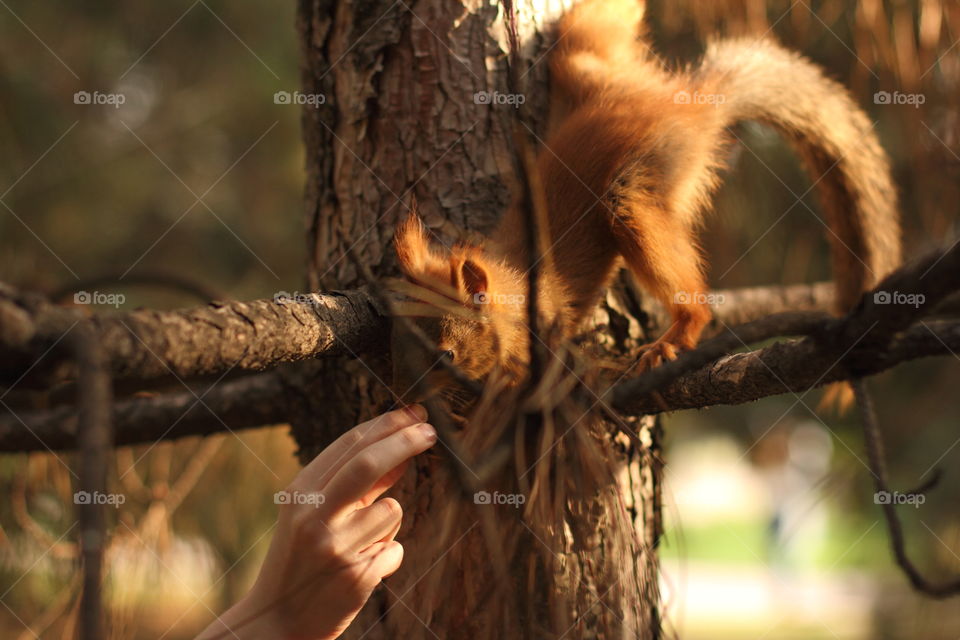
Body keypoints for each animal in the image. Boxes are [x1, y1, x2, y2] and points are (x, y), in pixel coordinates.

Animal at [391, 0, 901, 399]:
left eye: (446, 354)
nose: (401, 399)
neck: (511, 285)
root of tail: (688, 102)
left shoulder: (547, 323)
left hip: (645, 176)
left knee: (673, 272)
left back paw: (676, 334)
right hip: (586, 67)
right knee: (586, 38)